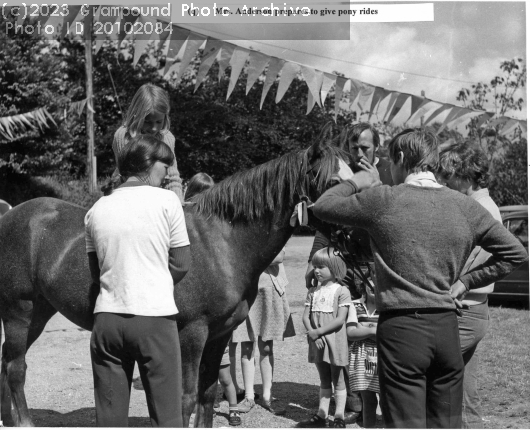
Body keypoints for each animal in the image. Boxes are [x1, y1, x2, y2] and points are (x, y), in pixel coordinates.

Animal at [0, 138, 352, 426]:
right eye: (334, 181)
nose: (352, 235)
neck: (222, 243)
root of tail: (11, 216)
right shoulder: (192, 334)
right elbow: (186, 398)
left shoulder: (220, 334)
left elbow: (207, 394)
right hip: (20, 312)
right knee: (16, 368)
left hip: (39, 313)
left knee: (6, 362)